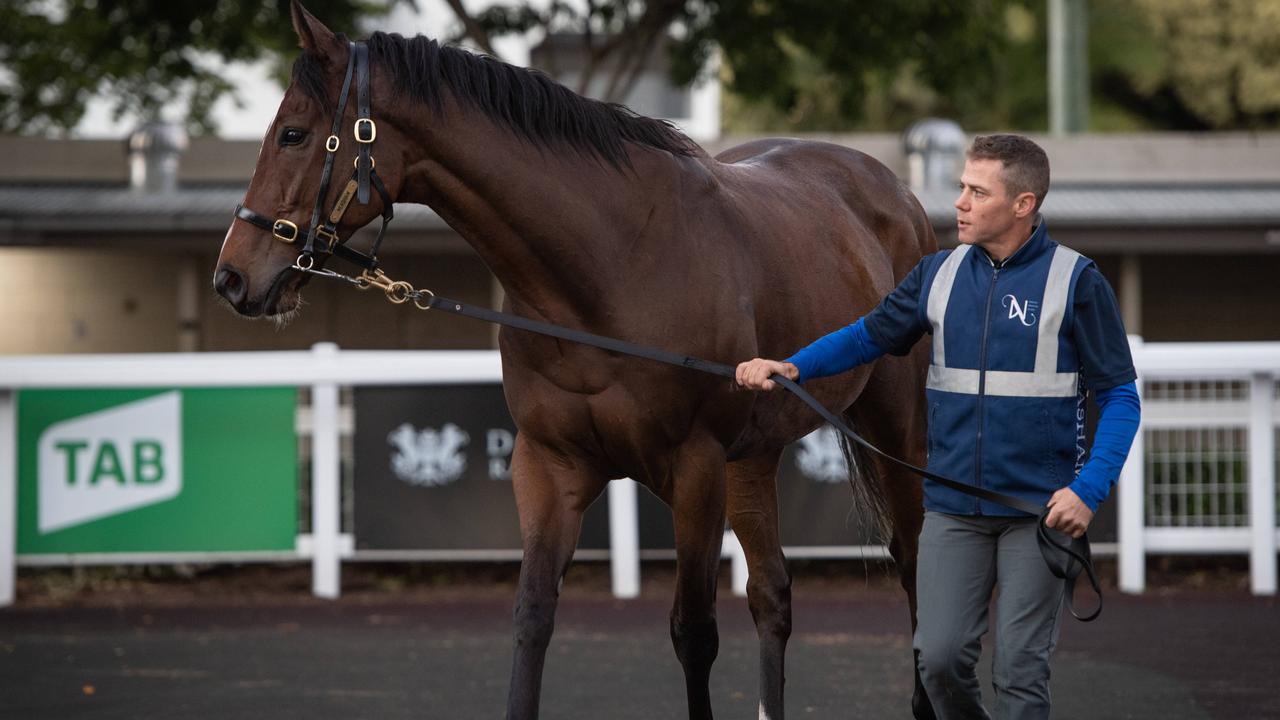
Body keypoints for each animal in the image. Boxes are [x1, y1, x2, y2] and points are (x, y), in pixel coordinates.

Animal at [215, 2, 942, 712]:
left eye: (292, 135)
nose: (231, 278)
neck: (612, 267)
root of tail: (893, 190)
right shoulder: (549, 466)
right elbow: (533, 618)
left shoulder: (696, 467)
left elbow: (694, 633)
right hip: (754, 456)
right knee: (771, 595)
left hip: (894, 431)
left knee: (913, 561)